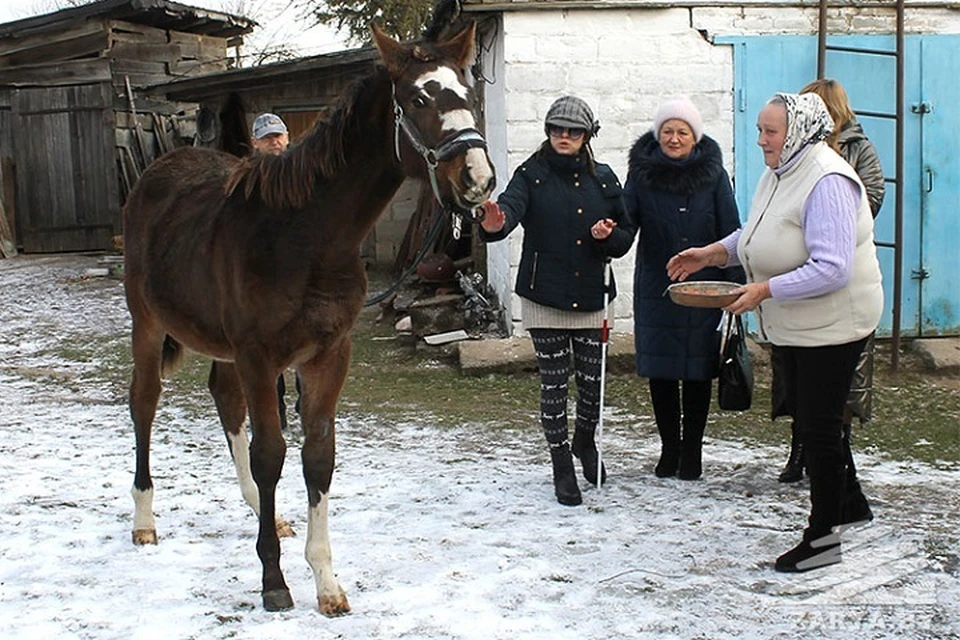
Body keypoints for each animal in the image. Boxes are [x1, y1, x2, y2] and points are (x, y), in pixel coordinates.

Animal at [122, 23, 496, 616]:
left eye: (468, 94)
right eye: (417, 100)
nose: (478, 178)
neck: (306, 236)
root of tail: (157, 172)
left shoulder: (328, 354)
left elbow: (317, 456)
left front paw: (326, 582)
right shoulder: (259, 356)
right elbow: (271, 453)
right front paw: (274, 581)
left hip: (223, 346)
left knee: (224, 399)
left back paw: (264, 512)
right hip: (148, 323)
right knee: (144, 402)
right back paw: (144, 519)